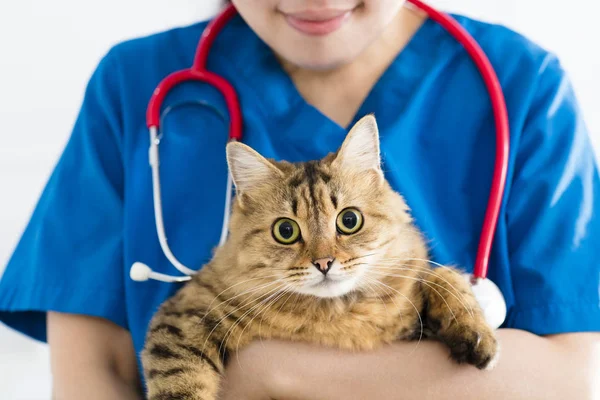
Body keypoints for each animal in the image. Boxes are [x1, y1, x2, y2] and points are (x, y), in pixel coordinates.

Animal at [139, 114, 496, 398]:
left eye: (349, 220)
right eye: (285, 230)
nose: (324, 263)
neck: (334, 316)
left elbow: (444, 276)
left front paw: (475, 333)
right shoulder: (184, 313)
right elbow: (179, 381)